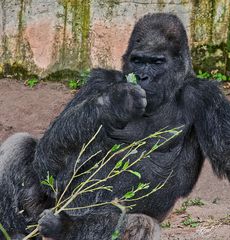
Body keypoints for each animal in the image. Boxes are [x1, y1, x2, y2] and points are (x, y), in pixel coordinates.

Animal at [0, 13, 229, 240]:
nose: (142, 77)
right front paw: (116, 102)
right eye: (137, 60)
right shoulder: (99, 81)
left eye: (157, 62)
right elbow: (47, 164)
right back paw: (13, 232)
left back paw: (63, 227)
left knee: (141, 223)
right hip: (42, 213)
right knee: (21, 145)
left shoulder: (205, 96)